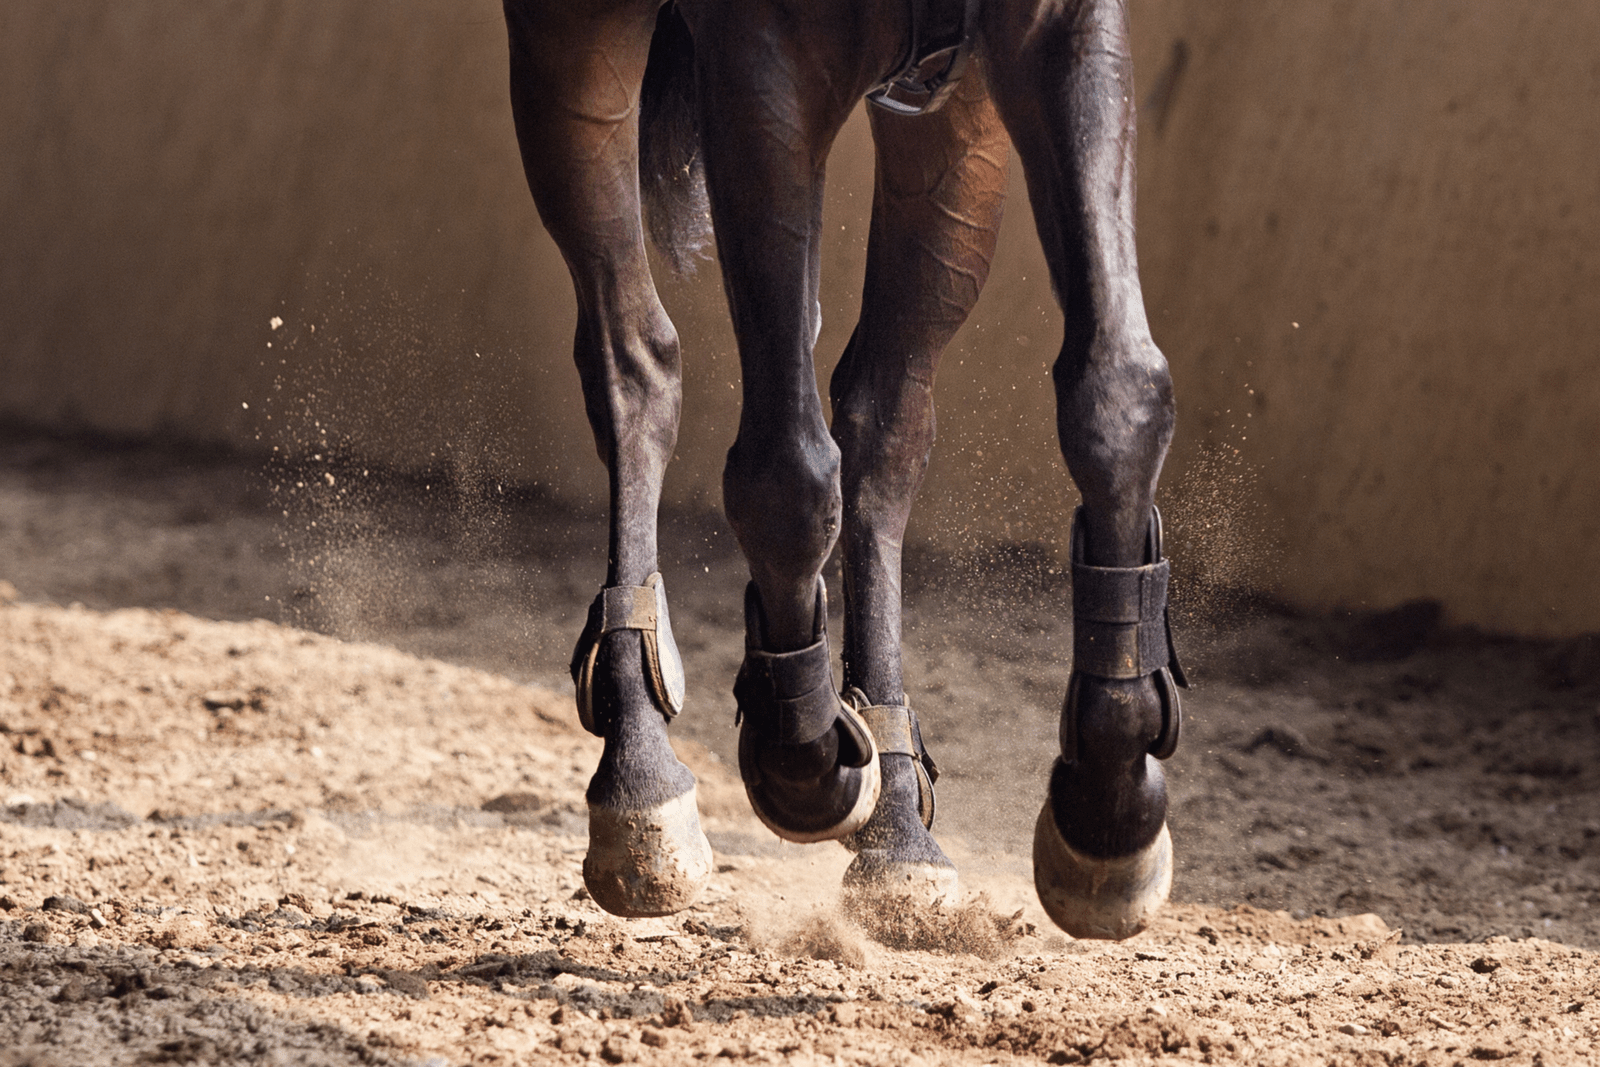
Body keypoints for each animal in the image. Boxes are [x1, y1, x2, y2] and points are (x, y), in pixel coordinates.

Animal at [501, 0, 1185, 940]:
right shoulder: (761, 65)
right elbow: (784, 475)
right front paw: (801, 754)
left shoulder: (1049, 30)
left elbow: (1118, 391)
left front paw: (1110, 808)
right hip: (573, 42)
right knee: (635, 362)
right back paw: (643, 784)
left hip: (950, 131)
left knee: (882, 424)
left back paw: (896, 825)